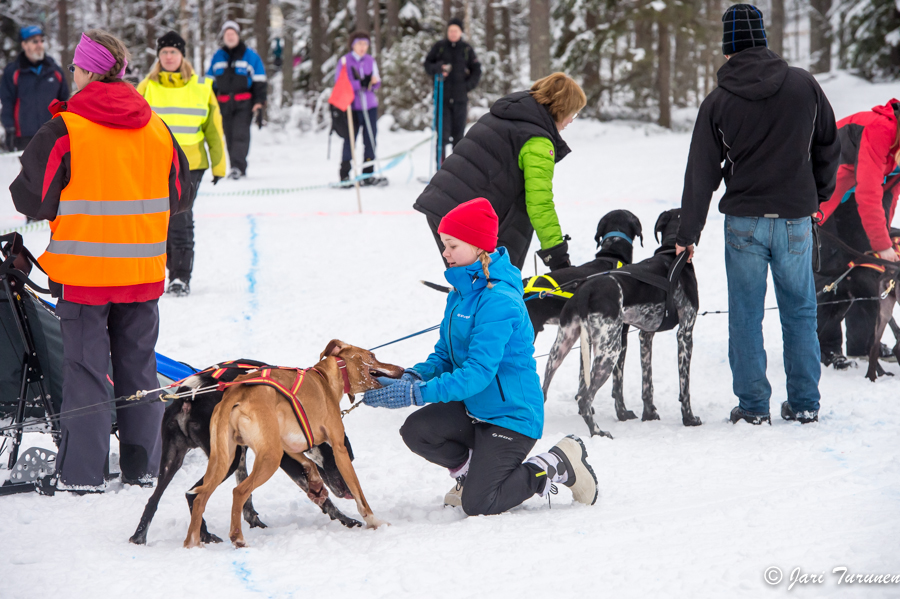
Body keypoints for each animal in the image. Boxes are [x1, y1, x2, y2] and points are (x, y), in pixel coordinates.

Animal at [130, 360, 362, 548]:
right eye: (341, 460)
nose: (350, 492)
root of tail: (190, 395)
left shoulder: (246, 454)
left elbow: (246, 495)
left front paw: (253, 521)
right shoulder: (282, 457)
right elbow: (317, 492)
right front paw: (346, 519)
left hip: (173, 460)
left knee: (154, 500)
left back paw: (140, 537)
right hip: (226, 460)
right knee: (193, 494)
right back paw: (204, 536)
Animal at [183, 338, 400, 548]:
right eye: (372, 355)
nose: (400, 369)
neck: (328, 376)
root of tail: (236, 394)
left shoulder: (287, 445)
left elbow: (309, 463)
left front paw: (316, 485)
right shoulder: (339, 449)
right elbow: (358, 493)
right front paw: (374, 521)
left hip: (225, 460)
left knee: (200, 496)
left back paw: (193, 542)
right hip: (268, 458)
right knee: (239, 492)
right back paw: (238, 538)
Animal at [536, 209, 700, 438]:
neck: (671, 255)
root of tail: (586, 291)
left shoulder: (645, 335)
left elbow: (647, 383)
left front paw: (649, 414)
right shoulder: (685, 332)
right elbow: (684, 386)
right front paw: (689, 419)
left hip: (563, 346)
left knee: (545, 387)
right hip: (608, 352)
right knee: (585, 398)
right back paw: (597, 432)